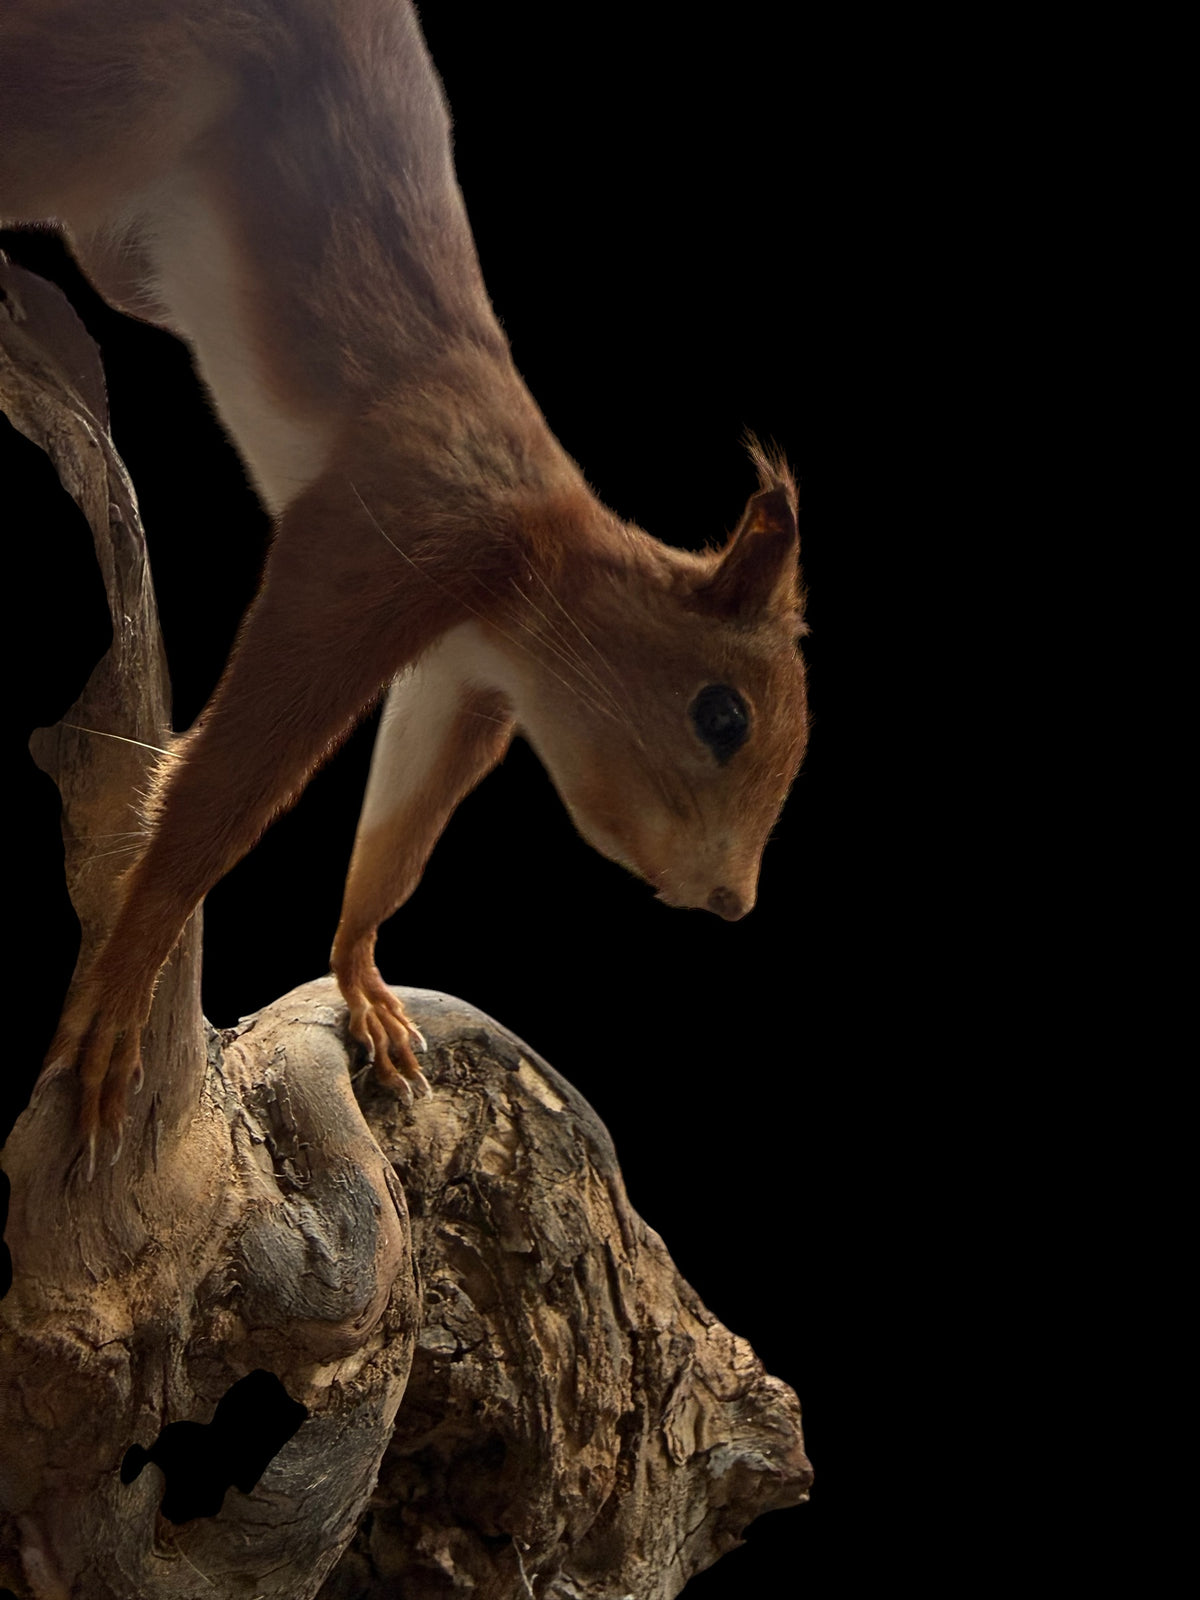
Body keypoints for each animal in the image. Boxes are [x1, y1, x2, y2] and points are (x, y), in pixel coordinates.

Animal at [1, 0, 809, 1170]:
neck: (534, 552)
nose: (730, 900)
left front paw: (360, 976)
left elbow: (399, 827)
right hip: (116, 96)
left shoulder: (468, 683)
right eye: (721, 715)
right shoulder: (385, 540)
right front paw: (122, 990)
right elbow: (223, 789)